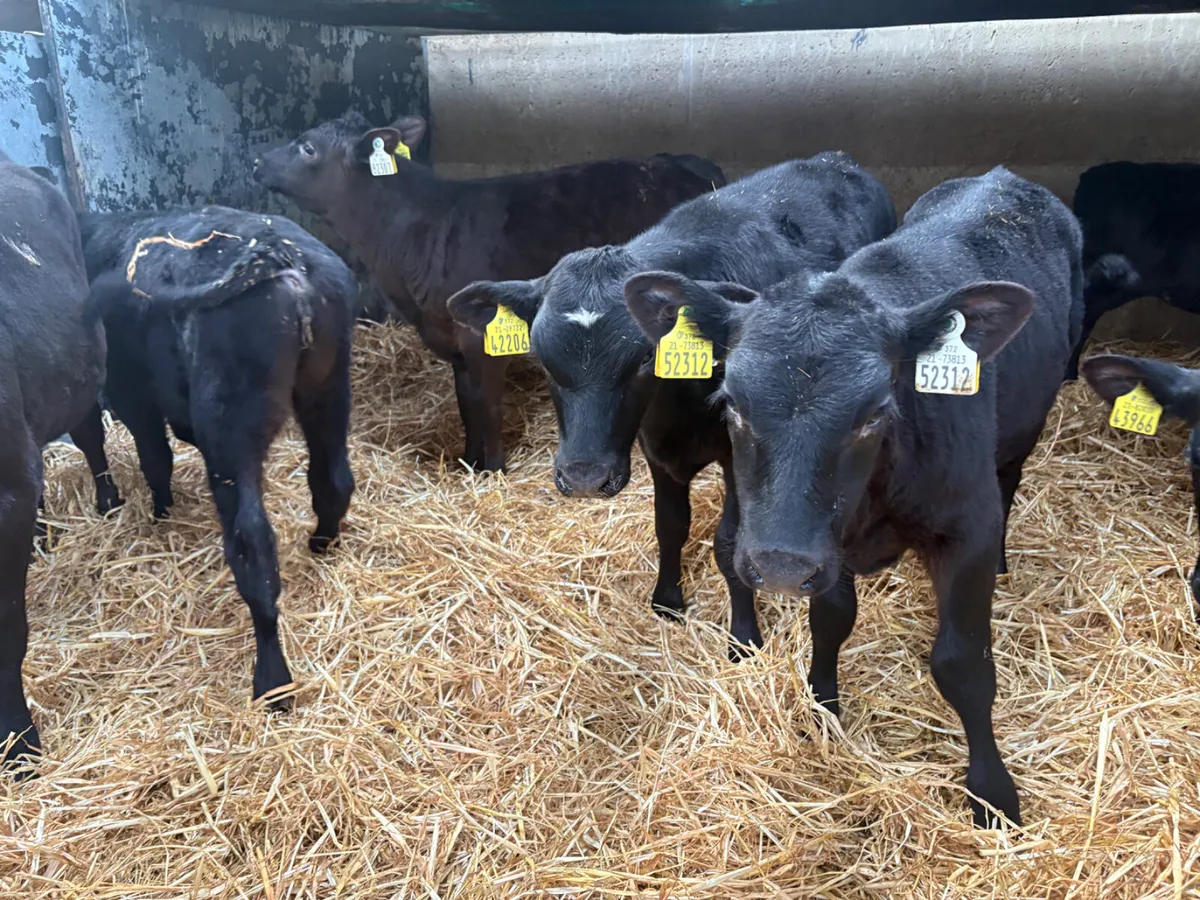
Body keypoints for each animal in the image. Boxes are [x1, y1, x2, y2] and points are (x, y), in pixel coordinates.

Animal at [78, 205, 359, 709]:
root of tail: (283, 258)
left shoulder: (131, 393)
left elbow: (155, 457)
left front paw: (161, 512)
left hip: (232, 429)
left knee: (252, 544)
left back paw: (272, 681)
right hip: (328, 390)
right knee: (333, 480)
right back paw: (322, 543)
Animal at [253, 111, 725, 473]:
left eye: (308, 147)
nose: (257, 162)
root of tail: (683, 162)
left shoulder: (484, 334)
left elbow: (488, 404)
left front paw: (493, 468)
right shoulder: (452, 337)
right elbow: (467, 403)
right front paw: (469, 461)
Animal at [448, 155, 897, 659]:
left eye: (645, 357)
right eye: (542, 357)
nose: (584, 479)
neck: (677, 405)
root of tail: (835, 160)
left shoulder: (740, 459)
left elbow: (729, 545)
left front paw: (744, 637)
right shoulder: (655, 452)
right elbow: (670, 525)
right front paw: (667, 600)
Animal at [622, 166, 1084, 827]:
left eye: (875, 414)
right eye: (731, 402)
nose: (778, 565)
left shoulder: (964, 529)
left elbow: (962, 662)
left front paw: (993, 793)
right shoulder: (826, 546)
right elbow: (830, 622)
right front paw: (823, 709)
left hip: (1024, 432)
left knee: (1010, 477)